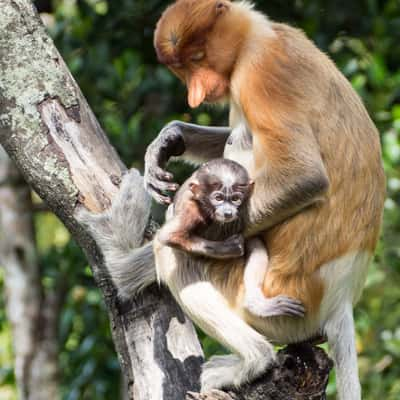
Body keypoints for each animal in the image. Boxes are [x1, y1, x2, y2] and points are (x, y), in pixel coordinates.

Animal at [158, 159, 304, 318]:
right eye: (218, 198)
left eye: (235, 199)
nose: (228, 212)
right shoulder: (192, 209)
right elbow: (167, 235)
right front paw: (227, 249)